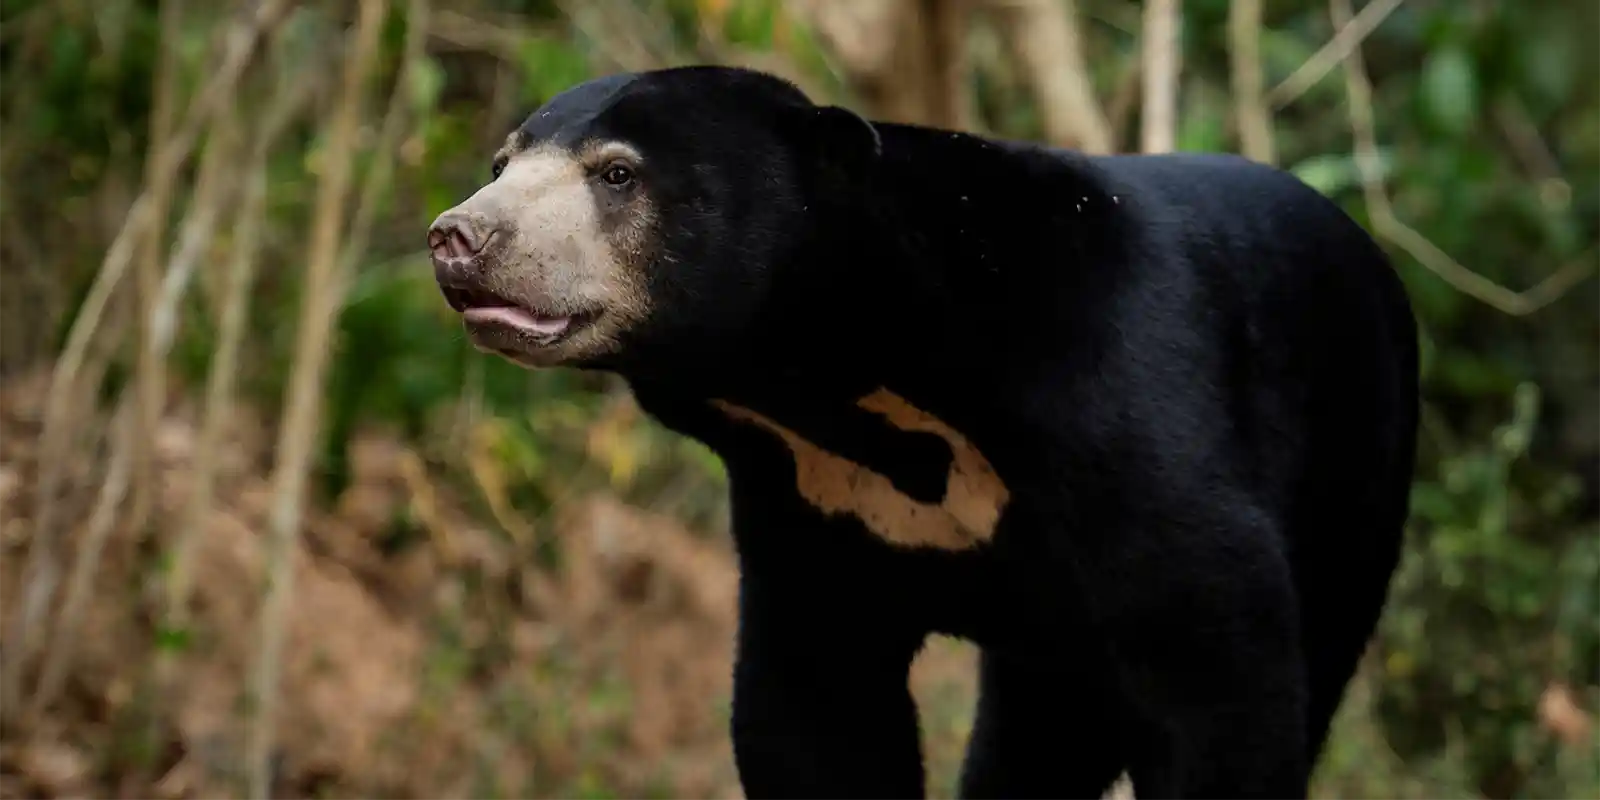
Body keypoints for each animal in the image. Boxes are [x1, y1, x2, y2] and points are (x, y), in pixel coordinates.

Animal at [424, 65, 1420, 800]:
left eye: (617, 174)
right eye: (503, 163)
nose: (457, 237)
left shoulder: (1118, 402)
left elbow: (1214, 667)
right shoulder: (806, 499)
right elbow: (817, 699)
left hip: (1352, 468)